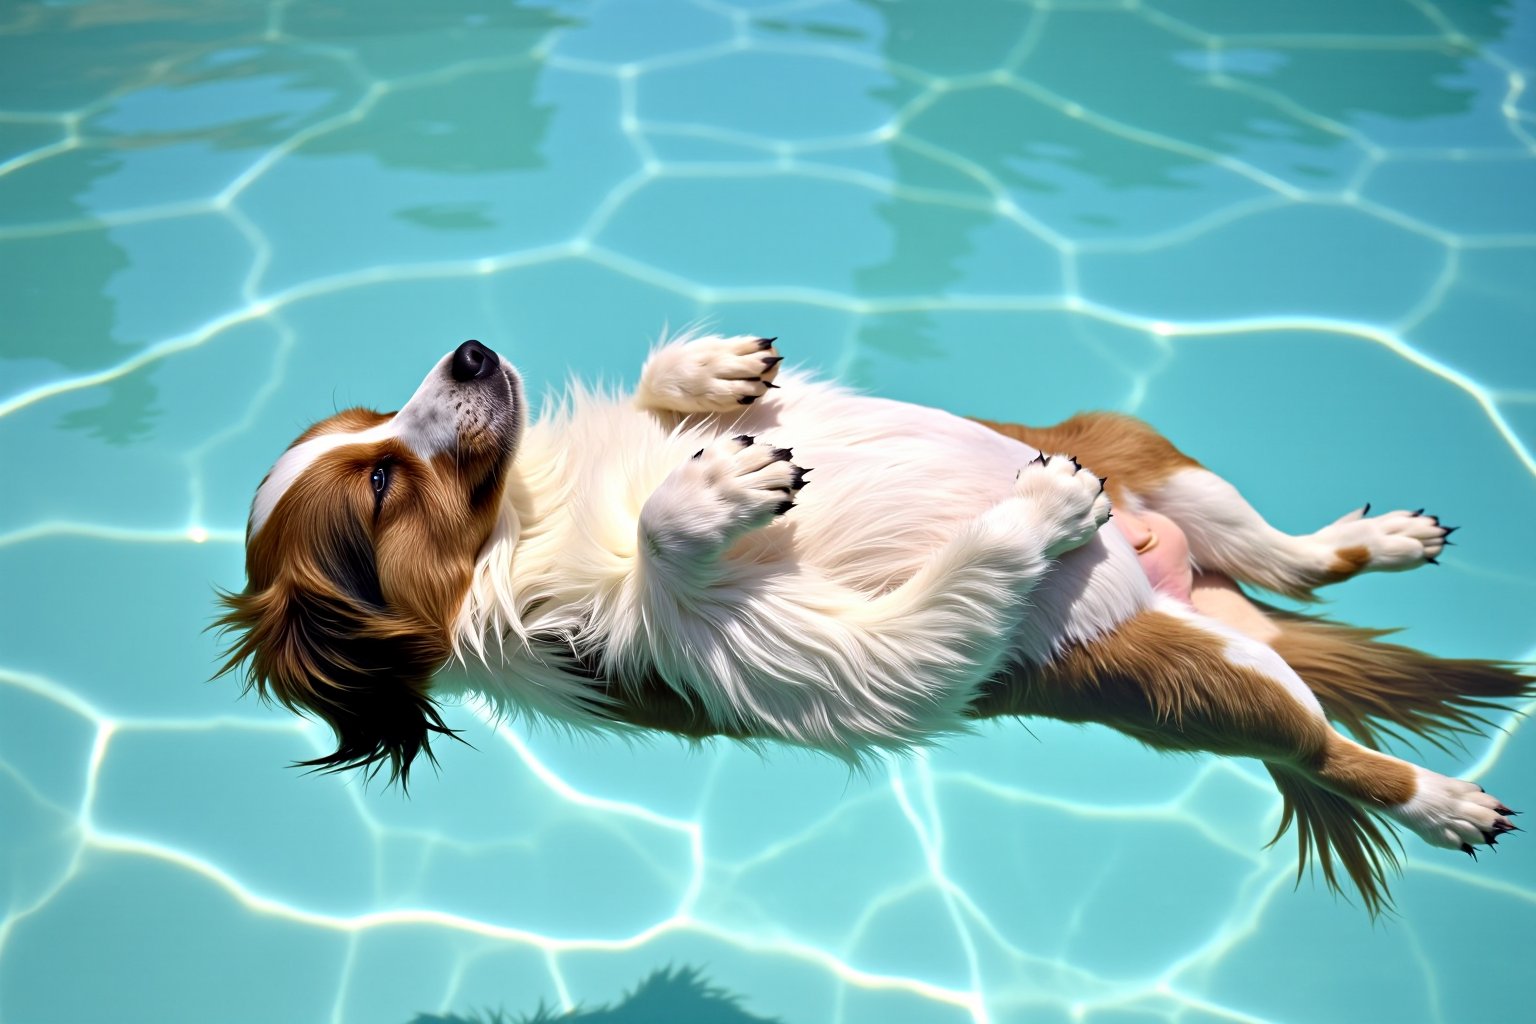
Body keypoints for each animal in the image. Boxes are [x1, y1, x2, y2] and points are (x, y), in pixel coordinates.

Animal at [219, 334, 1536, 914]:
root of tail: (1181, 586)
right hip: (1209, 678)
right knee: (1330, 751)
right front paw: (707, 496)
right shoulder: (832, 662)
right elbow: (673, 546)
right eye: (380, 483)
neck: (530, 517)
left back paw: (1384, 536)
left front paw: (711, 374)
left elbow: (670, 391)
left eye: (368, 417)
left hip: (1149, 455)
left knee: (1296, 562)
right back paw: (1448, 803)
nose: (471, 349)